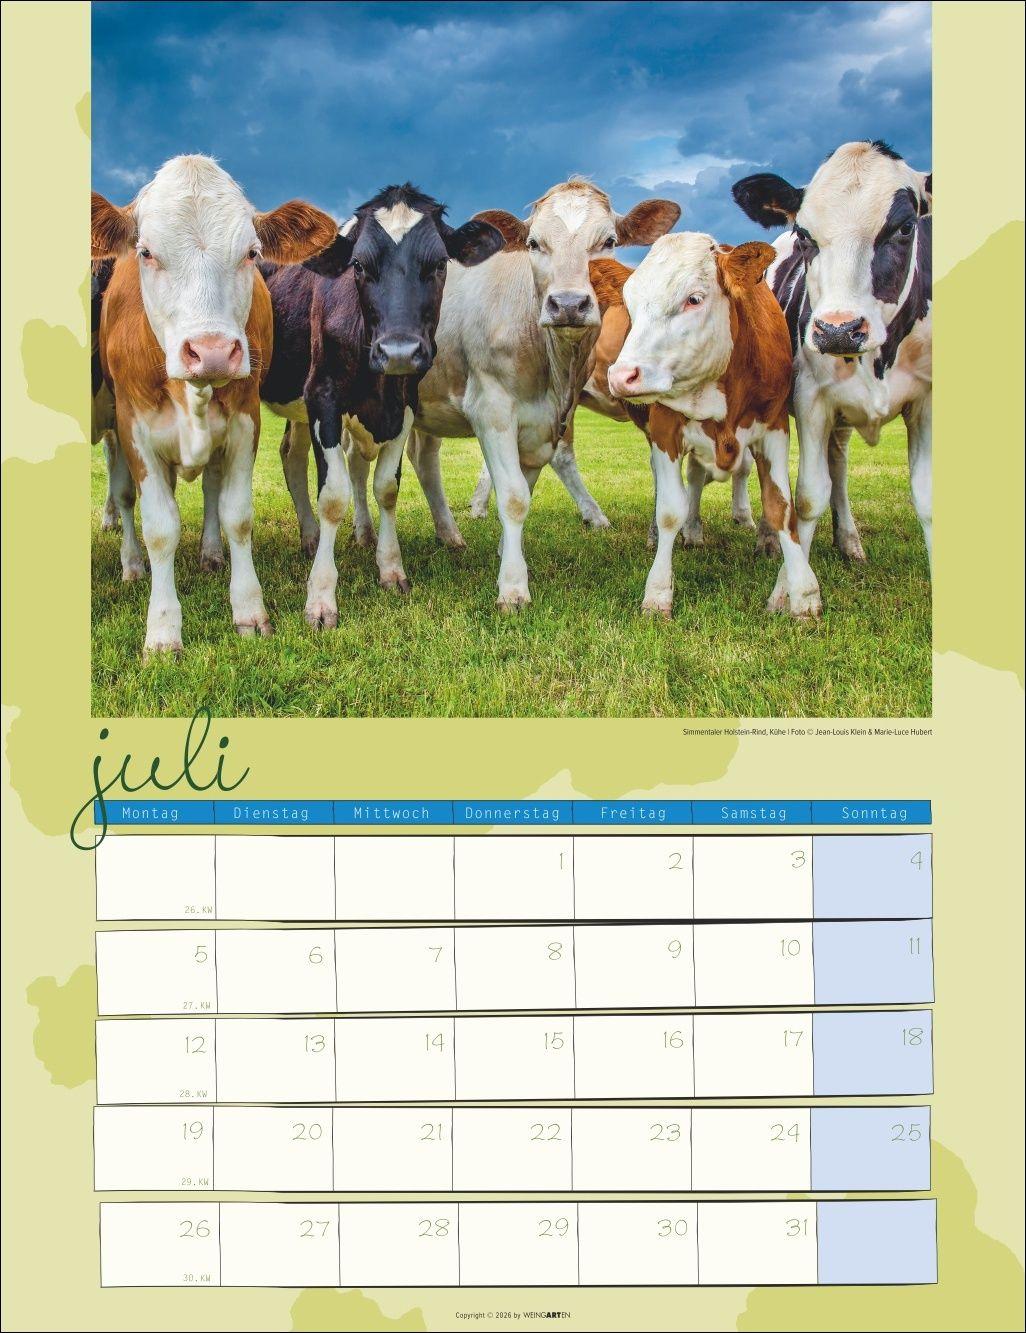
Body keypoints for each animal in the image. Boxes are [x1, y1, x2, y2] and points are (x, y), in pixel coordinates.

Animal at [91, 154, 337, 654]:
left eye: (252, 253)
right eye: (146, 252)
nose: (213, 352)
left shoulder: (244, 423)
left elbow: (236, 516)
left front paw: (249, 610)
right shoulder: (133, 428)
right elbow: (159, 528)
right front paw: (163, 630)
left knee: (210, 489)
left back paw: (209, 553)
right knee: (125, 498)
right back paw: (132, 565)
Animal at [258, 185, 504, 628]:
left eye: (439, 263)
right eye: (358, 264)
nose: (399, 351)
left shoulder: (404, 403)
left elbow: (387, 487)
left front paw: (391, 568)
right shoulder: (322, 396)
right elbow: (333, 495)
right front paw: (321, 597)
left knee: (290, 455)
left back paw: (311, 536)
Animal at [406, 179, 679, 609]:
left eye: (608, 240)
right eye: (534, 243)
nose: (568, 304)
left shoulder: (544, 425)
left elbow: (524, 491)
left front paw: (506, 553)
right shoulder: (491, 409)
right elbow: (514, 497)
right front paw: (513, 588)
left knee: (424, 458)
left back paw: (449, 535)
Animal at [597, 235, 822, 618]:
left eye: (694, 299)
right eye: (629, 305)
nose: (622, 375)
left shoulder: (775, 426)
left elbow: (781, 507)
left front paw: (803, 594)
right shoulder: (664, 429)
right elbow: (669, 510)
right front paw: (658, 594)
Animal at [731, 139, 932, 567]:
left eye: (906, 228)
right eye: (804, 235)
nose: (838, 330)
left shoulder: (926, 402)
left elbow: (926, 498)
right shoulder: (811, 398)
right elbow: (808, 494)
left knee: (837, 464)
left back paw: (848, 540)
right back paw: (767, 537)